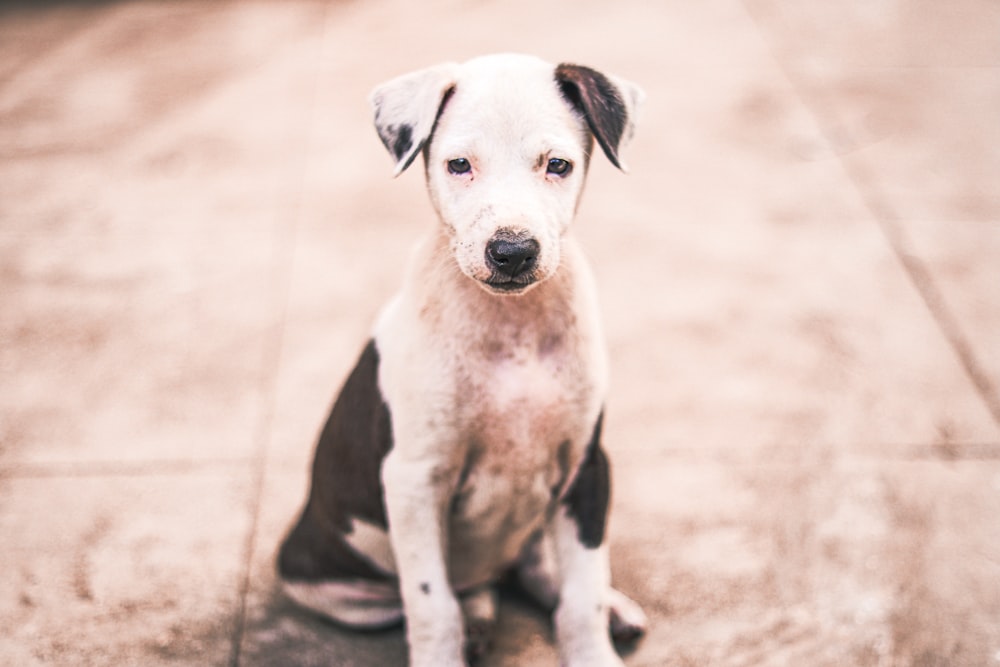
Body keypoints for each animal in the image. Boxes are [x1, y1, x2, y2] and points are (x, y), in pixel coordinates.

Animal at [278, 53, 644, 667]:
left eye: (558, 165)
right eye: (458, 165)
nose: (512, 250)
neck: (511, 324)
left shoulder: (586, 466)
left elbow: (583, 594)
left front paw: (595, 643)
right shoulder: (414, 479)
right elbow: (432, 604)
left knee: (530, 569)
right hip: (337, 586)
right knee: (451, 592)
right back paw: (476, 618)